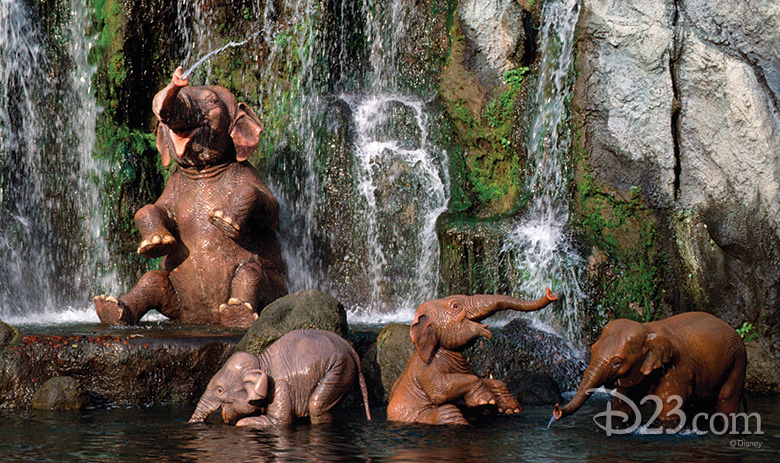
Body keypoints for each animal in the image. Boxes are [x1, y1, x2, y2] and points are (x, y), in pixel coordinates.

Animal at [95, 68, 286, 330]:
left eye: (211, 101)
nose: (178, 77)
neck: (202, 171)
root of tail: (202, 317)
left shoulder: (250, 175)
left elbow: (270, 210)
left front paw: (223, 221)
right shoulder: (173, 188)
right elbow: (154, 208)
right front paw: (156, 244)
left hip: (278, 287)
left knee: (251, 272)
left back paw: (238, 315)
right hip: (174, 297)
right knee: (153, 279)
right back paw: (110, 309)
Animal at [189, 330, 372, 428]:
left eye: (220, 390)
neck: (261, 364)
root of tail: (350, 348)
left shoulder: (280, 387)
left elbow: (280, 421)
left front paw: (241, 423)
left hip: (339, 369)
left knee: (316, 406)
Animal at [386, 288, 556, 426]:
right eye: (456, 306)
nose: (551, 293)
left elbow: (479, 378)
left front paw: (510, 408)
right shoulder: (427, 368)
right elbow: (439, 391)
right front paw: (484, 400)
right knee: (448, 411)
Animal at [552, 314, 748, 430]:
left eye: (617, 362)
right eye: (592, 350)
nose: (556, 410)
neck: (649, 330)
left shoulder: (678, 368)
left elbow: (669, 407)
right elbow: (622, 405)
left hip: (738, 359)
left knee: (727, 398)